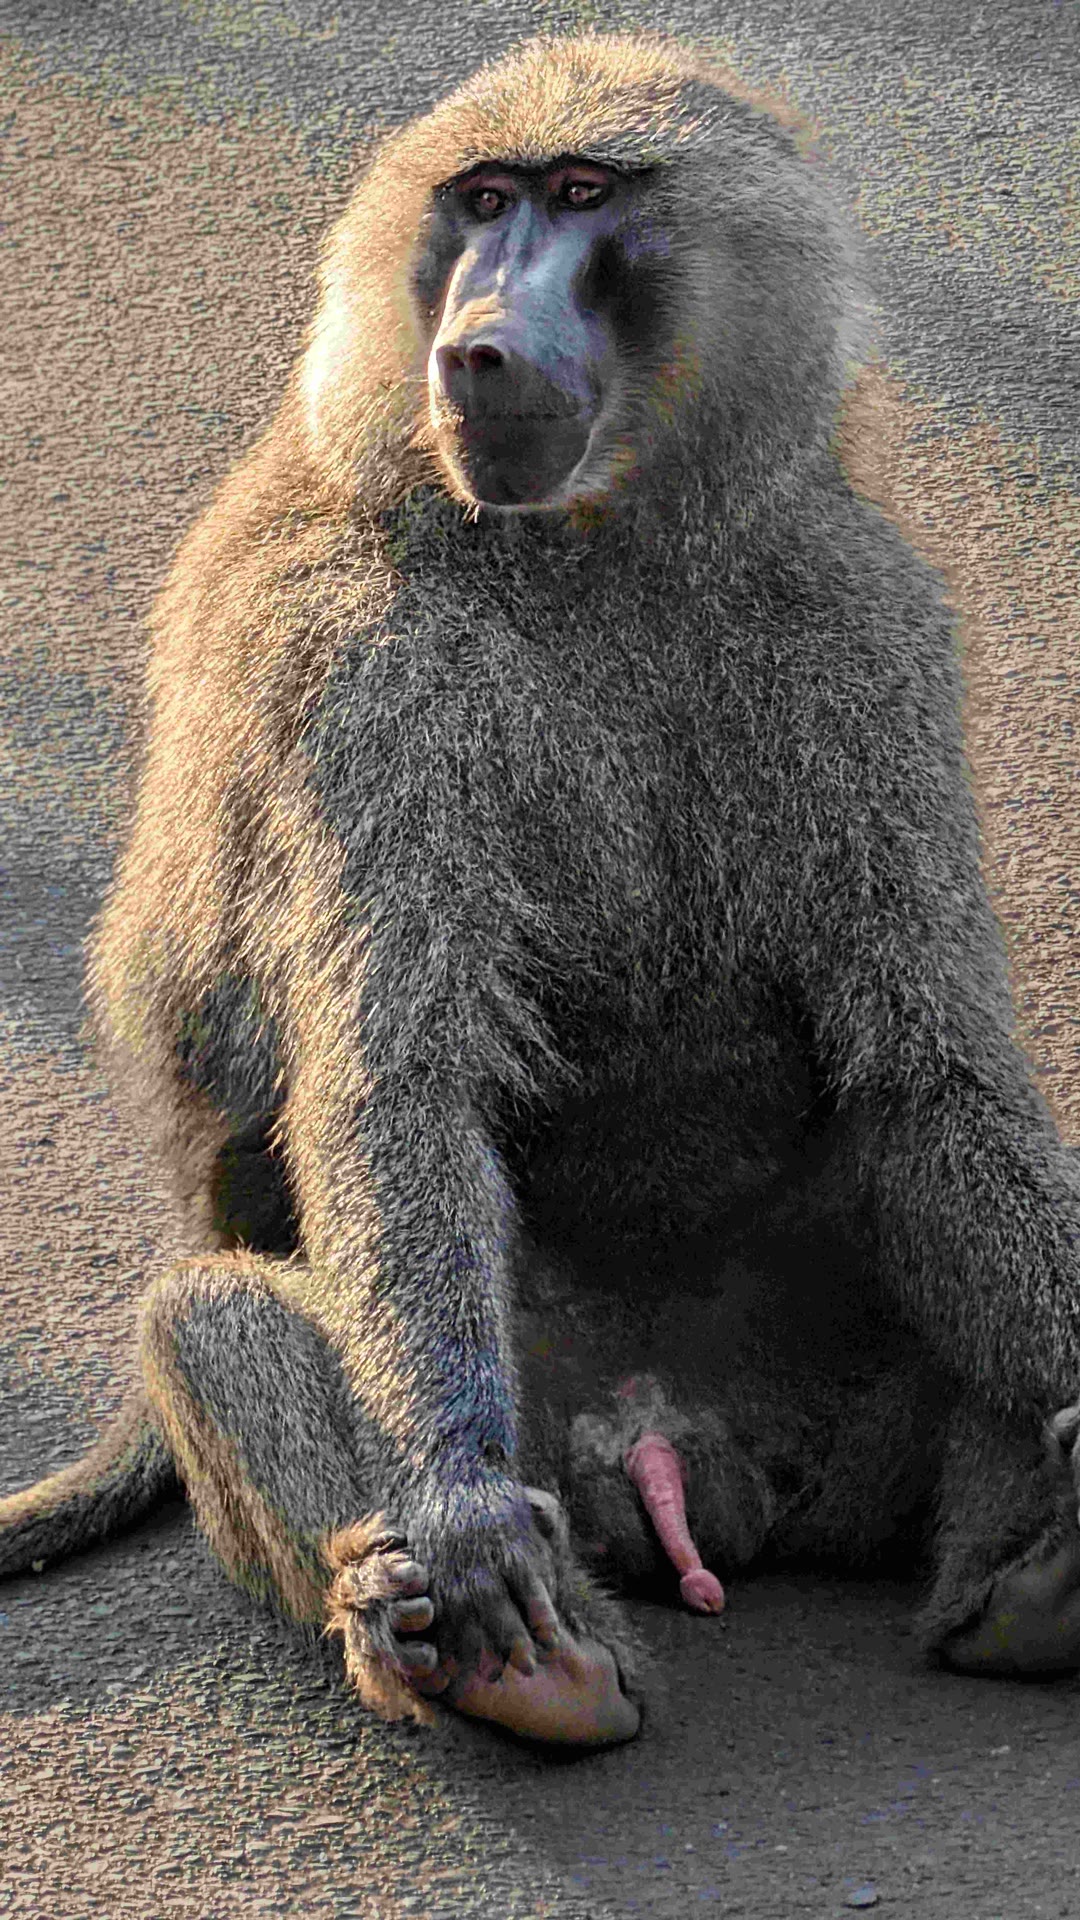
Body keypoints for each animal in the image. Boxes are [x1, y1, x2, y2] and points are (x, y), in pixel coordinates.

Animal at [4, 32, 1080, 1748]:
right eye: (485, 202)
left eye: (581, 194)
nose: (481, 349)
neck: (592, 546)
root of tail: (680, 1457)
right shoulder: (361, 671)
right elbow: (398, 1080)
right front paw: (456, 1519)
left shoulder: (862, 616)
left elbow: (931, 1070)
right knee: (210, 1317)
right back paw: (512, 1657)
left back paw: (1030, 1586)